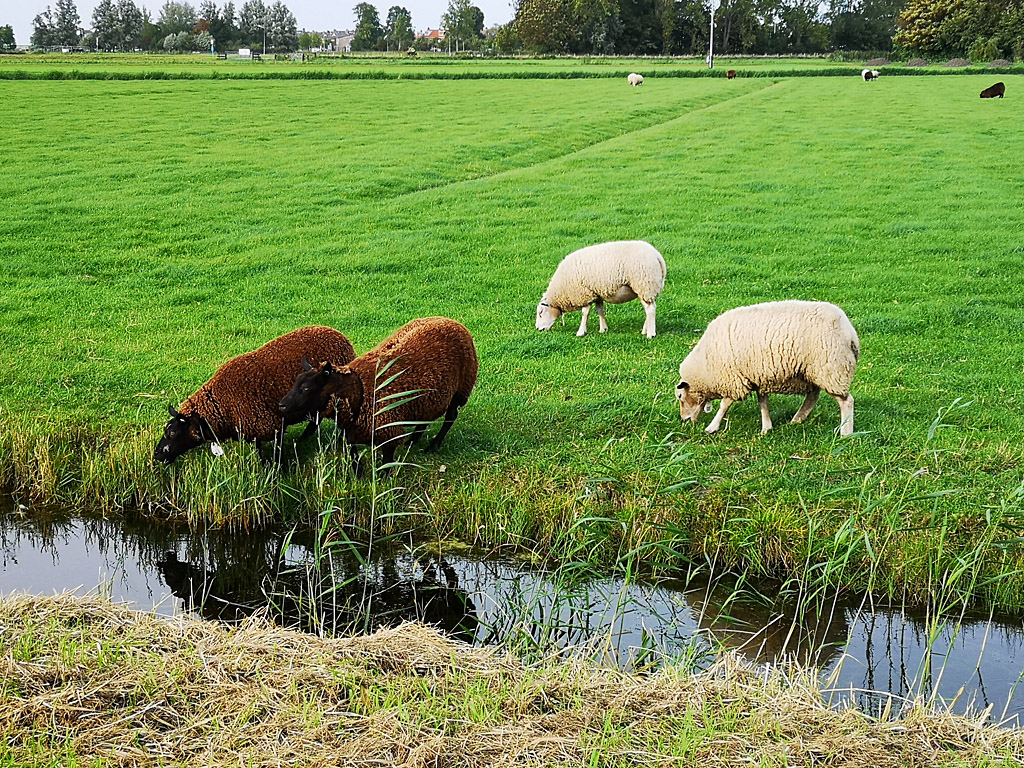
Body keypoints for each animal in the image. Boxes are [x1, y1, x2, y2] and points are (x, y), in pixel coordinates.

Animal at [152, 323, 356, 462]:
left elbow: (273, 455)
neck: (223, 402)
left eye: (172, 433)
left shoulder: (271, 426)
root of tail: (340, 336)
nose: (156, 455)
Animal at [280, 315, 479, 473]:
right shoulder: (353, 426)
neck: (359, 390)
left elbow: (387, 460)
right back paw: (412, 442)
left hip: (461, 390)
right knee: (424, 419)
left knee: (450, 418)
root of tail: (452, 321)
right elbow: (352, 450)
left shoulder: (387, 428)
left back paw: (433, 446)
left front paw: (384, 480)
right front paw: (358, 473)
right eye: (295, 383)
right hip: (426, 398)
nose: (281, 405)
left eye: (306, 388)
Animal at [532, 239, 667, 337]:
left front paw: (581, 332)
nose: (538, 328)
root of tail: (657, 256)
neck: (562, 290)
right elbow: (600, 311)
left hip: (645, 284)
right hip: (643, 289)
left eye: (540, 312)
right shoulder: (597, 293)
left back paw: (650, 334)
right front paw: (603, 329)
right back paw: (645, 330)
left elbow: (585, 313)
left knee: (650, 309)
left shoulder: (584, 293)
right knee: (649, 308)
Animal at [675, 303, 860, 442]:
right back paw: (796, 420)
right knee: (813, 396)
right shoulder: (757, 377)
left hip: (832, 370)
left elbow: (724, 405)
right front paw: (766, 428)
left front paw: (712, 427)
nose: (684, 420)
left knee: (846, 401)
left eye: (680, 396)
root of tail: (850, 333)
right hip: (811, 372)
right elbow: (763, 403)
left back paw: (846, 433)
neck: (705, 364)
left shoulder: (734, 379)